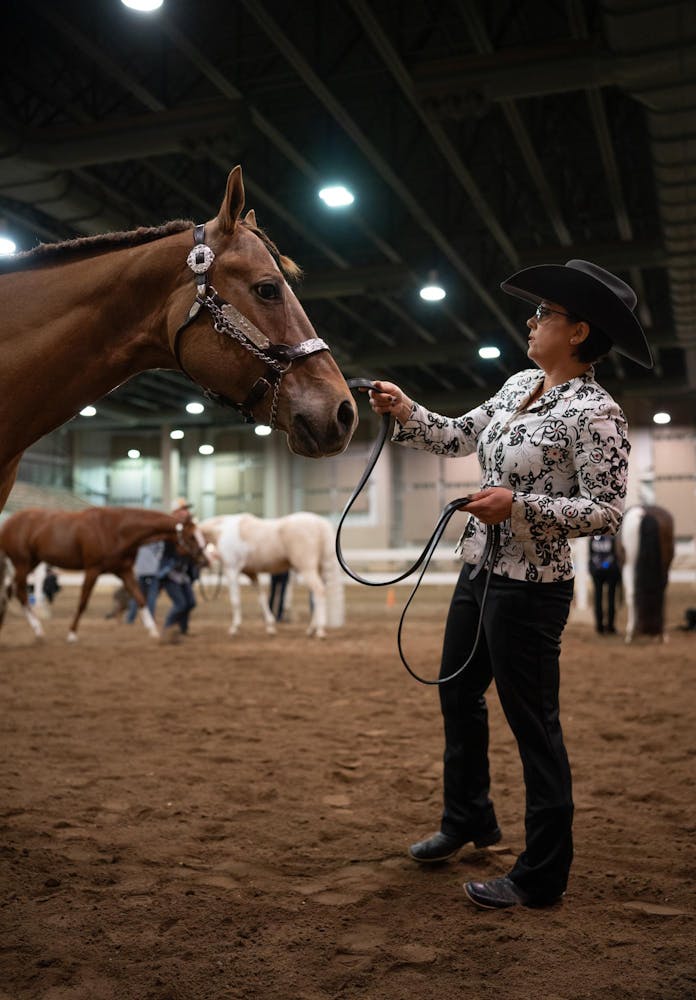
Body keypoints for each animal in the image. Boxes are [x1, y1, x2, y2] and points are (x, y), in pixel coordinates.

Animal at [0, 508, 207, 640]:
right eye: (191, 536)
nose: (204, 560)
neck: (115, 529)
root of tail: (8, 522)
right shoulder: (93, 570)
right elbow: (83, 602)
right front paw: (72, 634)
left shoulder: (124, 571)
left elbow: (140, 599)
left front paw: (154, 631)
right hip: (22, 563)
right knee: (19, 592)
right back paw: (38, 631)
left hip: (30, 563)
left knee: (10, 590)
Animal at [200, 508, 344, 640]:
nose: (206, 562)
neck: (222, 531)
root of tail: (320, 523)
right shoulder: (252, 574)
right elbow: (262, 598)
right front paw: (270, 627)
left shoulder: (232, 570)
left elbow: (235, 601)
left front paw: (234, 628)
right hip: (318, 569)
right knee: (316, 596)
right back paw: (311, 629)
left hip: (307, 568)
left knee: (319, 591)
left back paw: (320, 630)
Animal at [620, 504, 676, 644]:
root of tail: (646, 513)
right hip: (665, 563)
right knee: (662, 592)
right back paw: (662, 633)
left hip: (629, 564)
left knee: (632, 594)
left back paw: (630, 632)